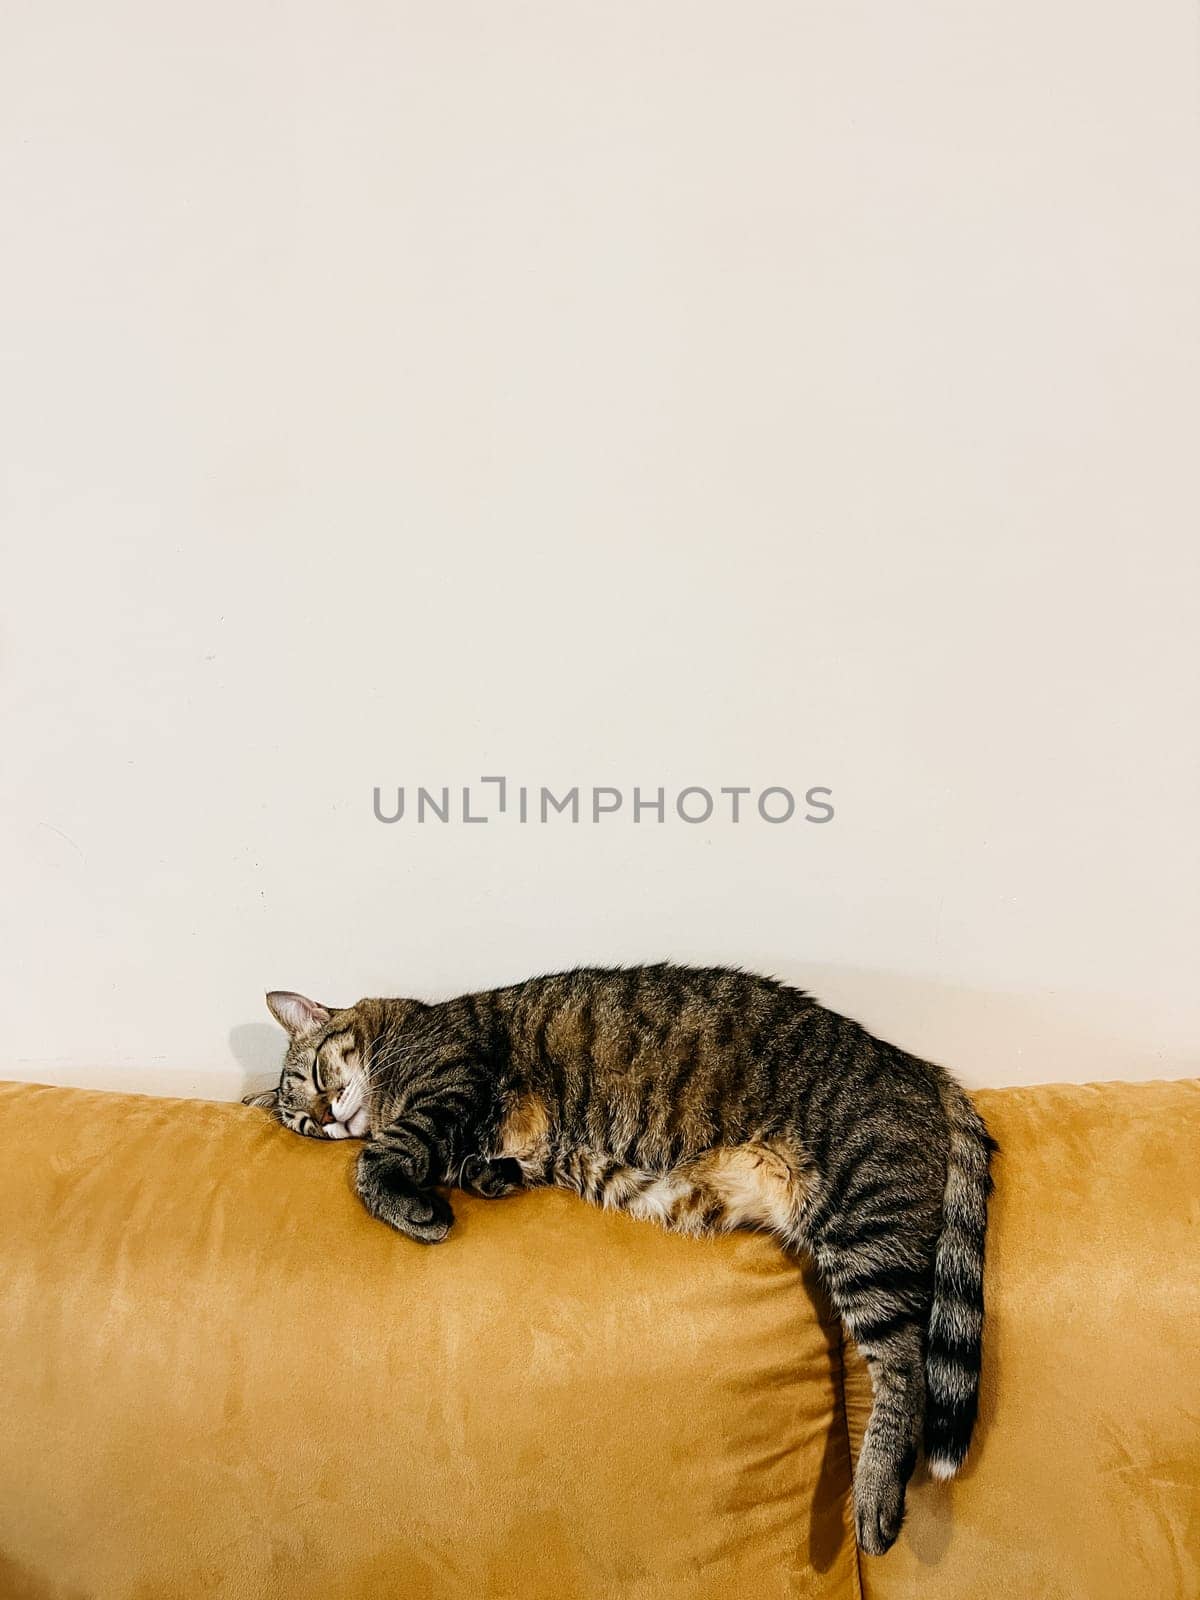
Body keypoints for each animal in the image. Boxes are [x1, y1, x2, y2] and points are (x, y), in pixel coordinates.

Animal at [244, 960, 998, 1548]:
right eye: (305, 1123)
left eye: (316, 1073)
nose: (328, 1116)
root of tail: (920, 1066)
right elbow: (472, 1165)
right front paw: (478, 1178)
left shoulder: (451, 1081)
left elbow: (379, 1158)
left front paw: (412, 1203)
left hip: (861, 1223)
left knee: (905, 1365)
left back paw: (875, 1497)